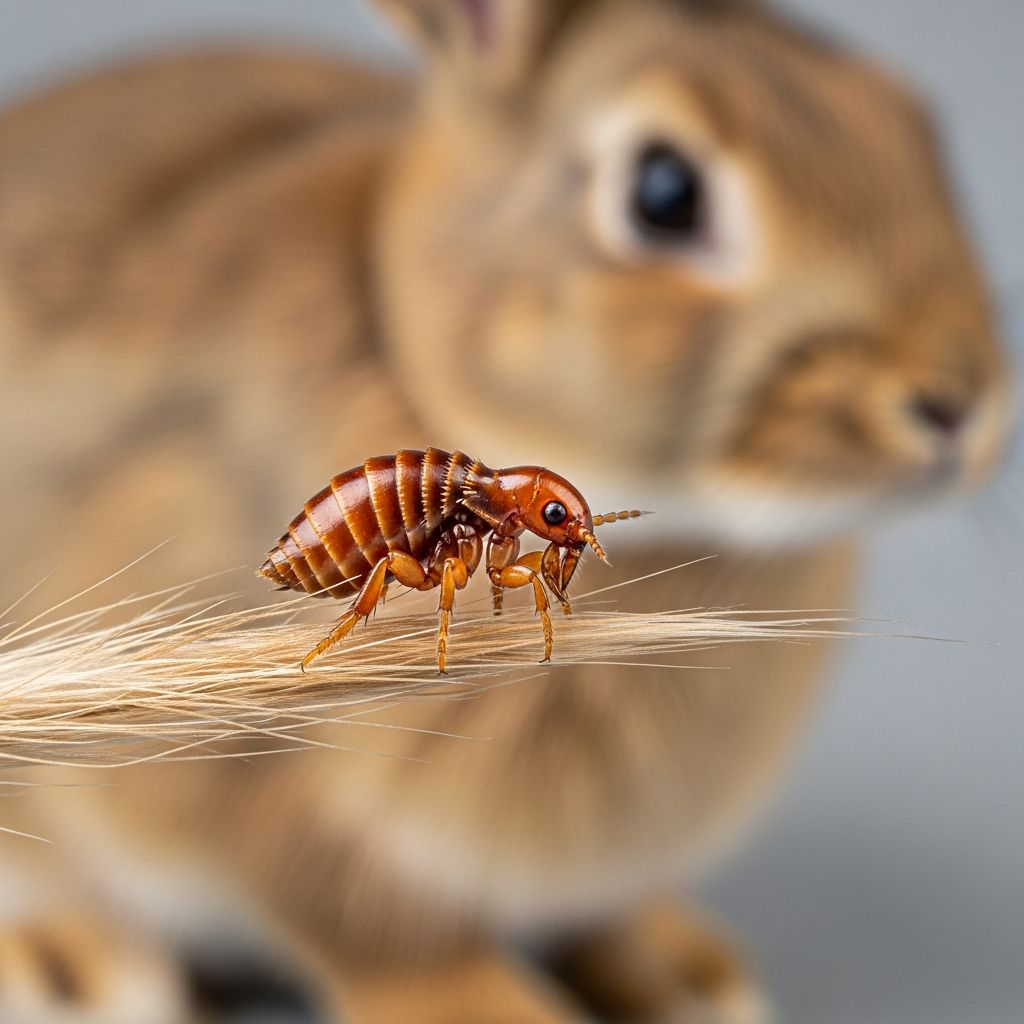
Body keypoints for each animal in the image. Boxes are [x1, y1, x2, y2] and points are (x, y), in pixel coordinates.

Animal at [0, 0, 1010, 1021]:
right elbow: (369, 917)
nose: (958, 401)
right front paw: (489, 1002)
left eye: (912, 124)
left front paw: (682, 971)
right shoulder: (279, 808)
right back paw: (73, 961)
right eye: (664, 193)